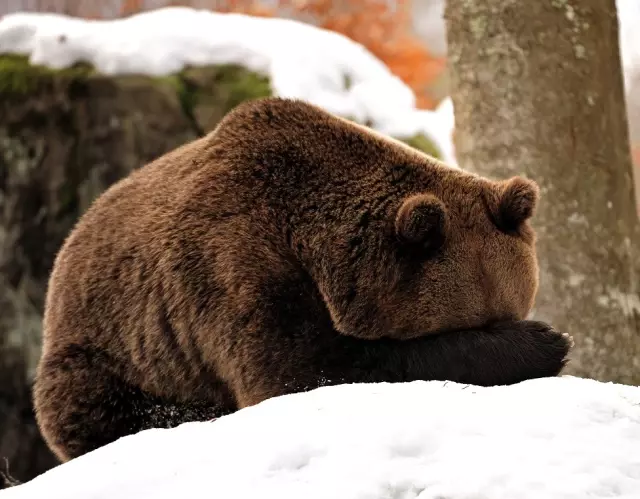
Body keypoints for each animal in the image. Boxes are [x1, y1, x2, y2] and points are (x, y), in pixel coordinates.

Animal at [32, 97, 572, 464]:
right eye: (473, 325)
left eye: (510, 307)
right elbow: (298, 373)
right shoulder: (238, 268)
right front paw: (548, 342)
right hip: (107, 350)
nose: (513, 327)